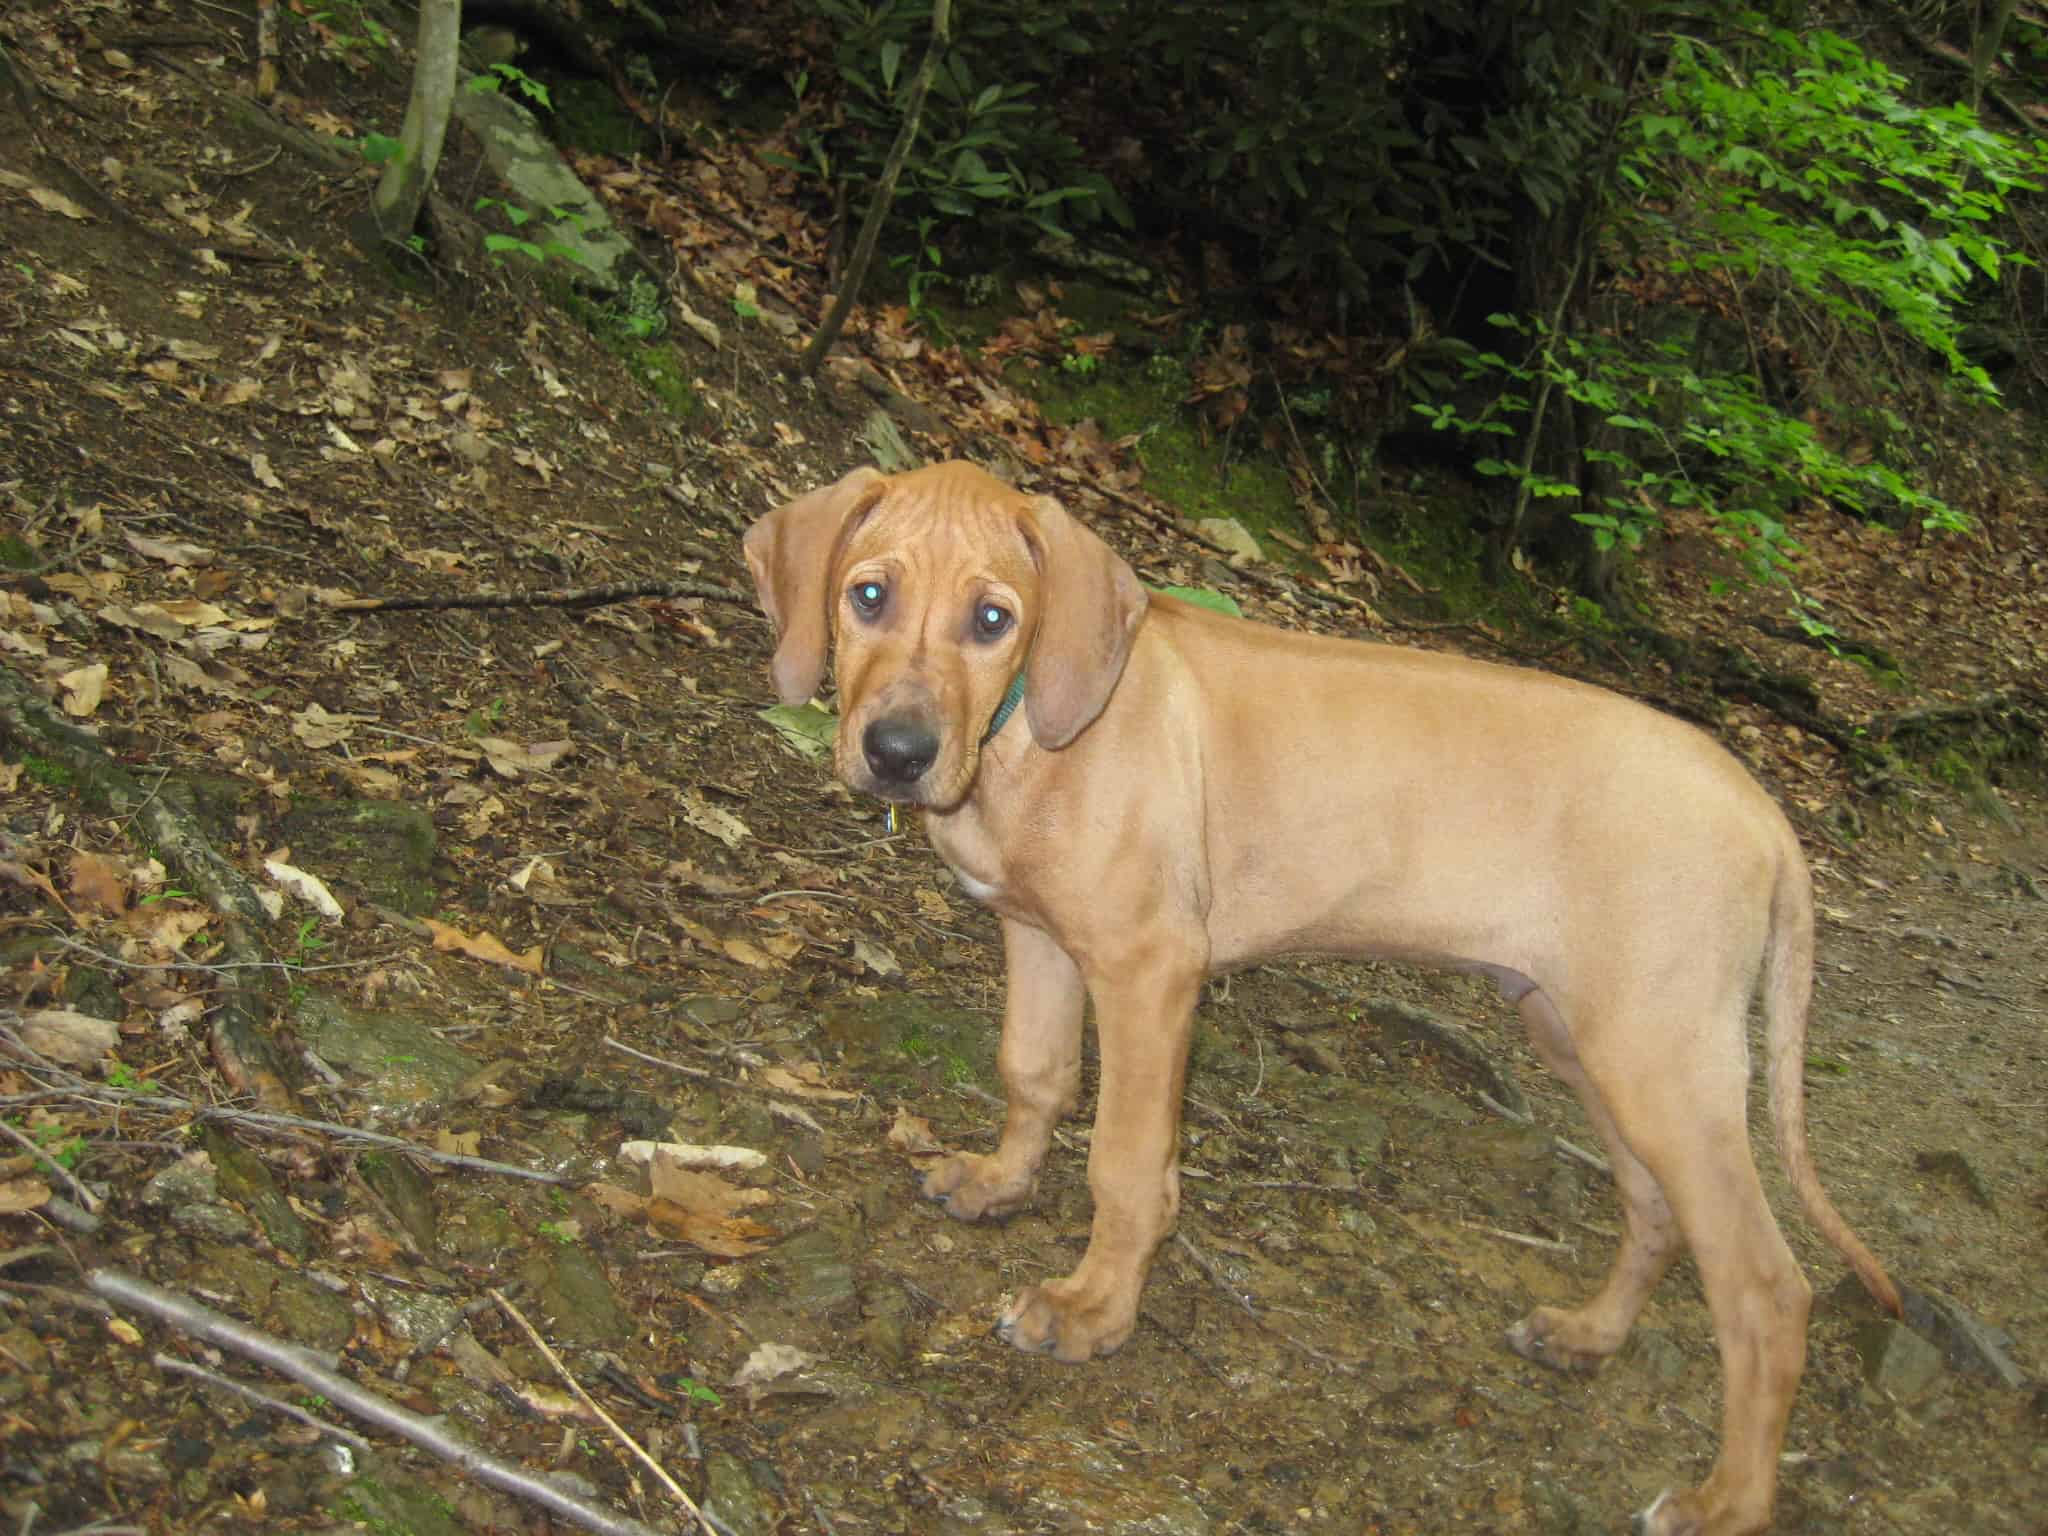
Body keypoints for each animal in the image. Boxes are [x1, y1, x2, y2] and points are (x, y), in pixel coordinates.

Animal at [745, 462, 1892, 1536]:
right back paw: (1587, 1336)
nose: (897, 756)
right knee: (1655, 1210)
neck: (1030, 726)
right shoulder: (1037, 938)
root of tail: (1762, 811)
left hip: (1660, 1061)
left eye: (993, 619)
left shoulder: (1151, 970)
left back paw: (1726, 1500)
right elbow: (1032, 1074)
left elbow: (1126, 1166)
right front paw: (998, 1183)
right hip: (1583, 1036)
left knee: (1764, 1288)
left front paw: (1094, 1309)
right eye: (867, 596)